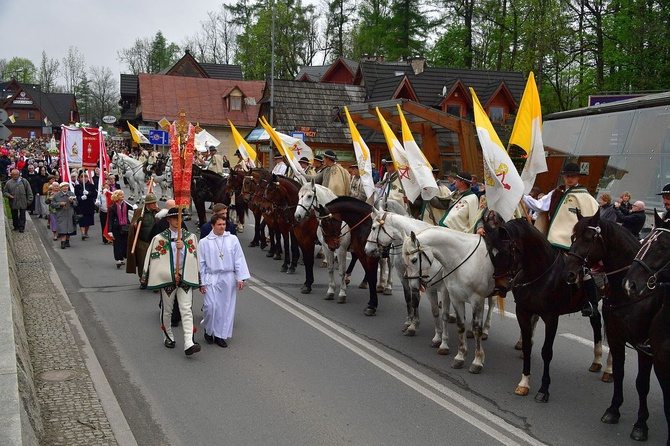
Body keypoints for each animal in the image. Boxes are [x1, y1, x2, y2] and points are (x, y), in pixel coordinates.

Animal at [402, 228, 496, 374]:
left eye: (414, 260)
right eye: (404, 261)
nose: (413, 287)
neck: (461, 258)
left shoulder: (476, 299)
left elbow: (475, 328)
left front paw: (477, 361)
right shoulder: (454, 297)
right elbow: (459, 325)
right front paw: (460, 357)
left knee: (492, 304)